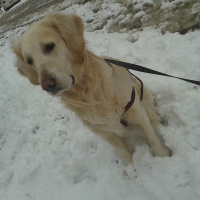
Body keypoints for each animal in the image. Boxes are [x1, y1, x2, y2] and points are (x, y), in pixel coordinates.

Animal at [11, 12, 171, 166]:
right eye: (29, 61)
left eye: (49, 46)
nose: (46, 85)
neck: (86, 90)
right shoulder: (101, 129)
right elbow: (123, 151)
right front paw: (132, 169)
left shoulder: (135, 110)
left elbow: (151, 137)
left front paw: (163, 155)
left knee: (152, 114)